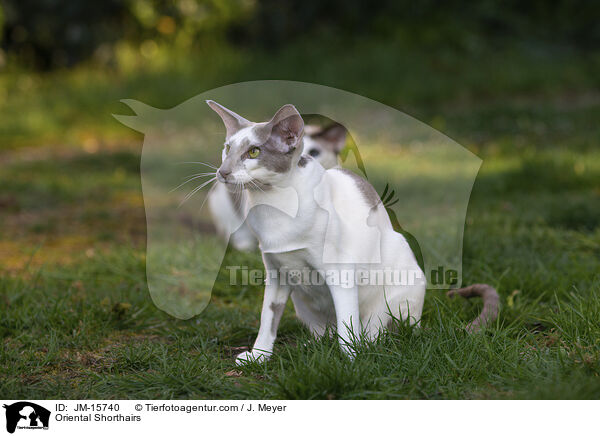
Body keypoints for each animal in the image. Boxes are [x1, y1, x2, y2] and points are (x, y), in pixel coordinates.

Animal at [206, 100, 496, 362]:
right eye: (228, 149)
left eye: (254, 152)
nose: (223, 171)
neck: (272, 205)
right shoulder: (276, 270)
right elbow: (268, 318)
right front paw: (258, 356)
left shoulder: (340, 271)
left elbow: (348, 321)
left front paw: (352, 362)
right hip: (301, 300)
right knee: (324, 333)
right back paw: (311, 348)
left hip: (393, 291)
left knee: (377, 333)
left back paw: (363, 347)